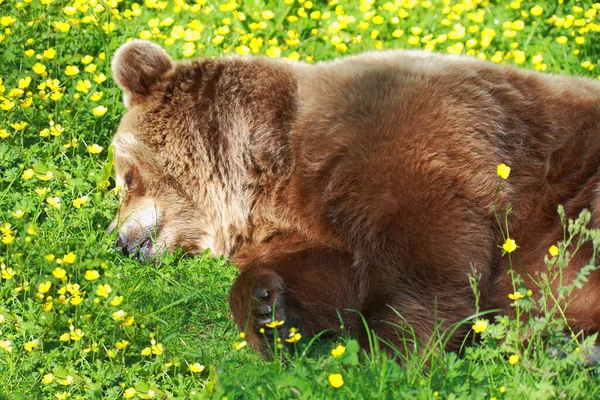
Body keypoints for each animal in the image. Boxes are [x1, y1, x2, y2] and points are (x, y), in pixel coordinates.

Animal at [110, 39, 600, 356]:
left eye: (126, 176)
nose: (119, 241)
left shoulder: (411, 140)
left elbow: (426, 253)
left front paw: (389, 349)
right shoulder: (309, 218)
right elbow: (328, 276)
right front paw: (268, 309)